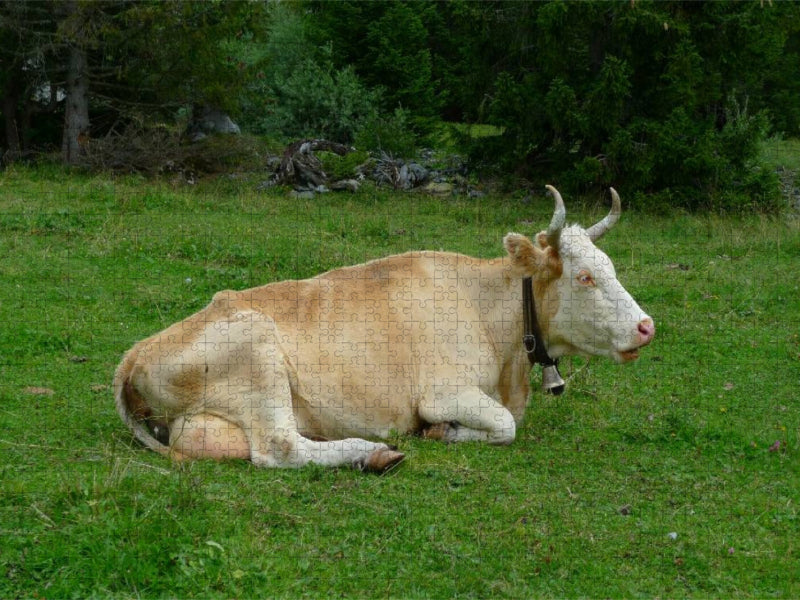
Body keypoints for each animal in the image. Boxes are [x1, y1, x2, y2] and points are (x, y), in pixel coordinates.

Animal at [114, 186, 654, 472]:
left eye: (610, 266)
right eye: (584, 277)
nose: (646, 327)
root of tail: (135, 352)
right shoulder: (443, 390)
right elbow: (505, 425)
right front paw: (443, 432)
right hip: (258, 352)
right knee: (278, 449)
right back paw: (374, 452)